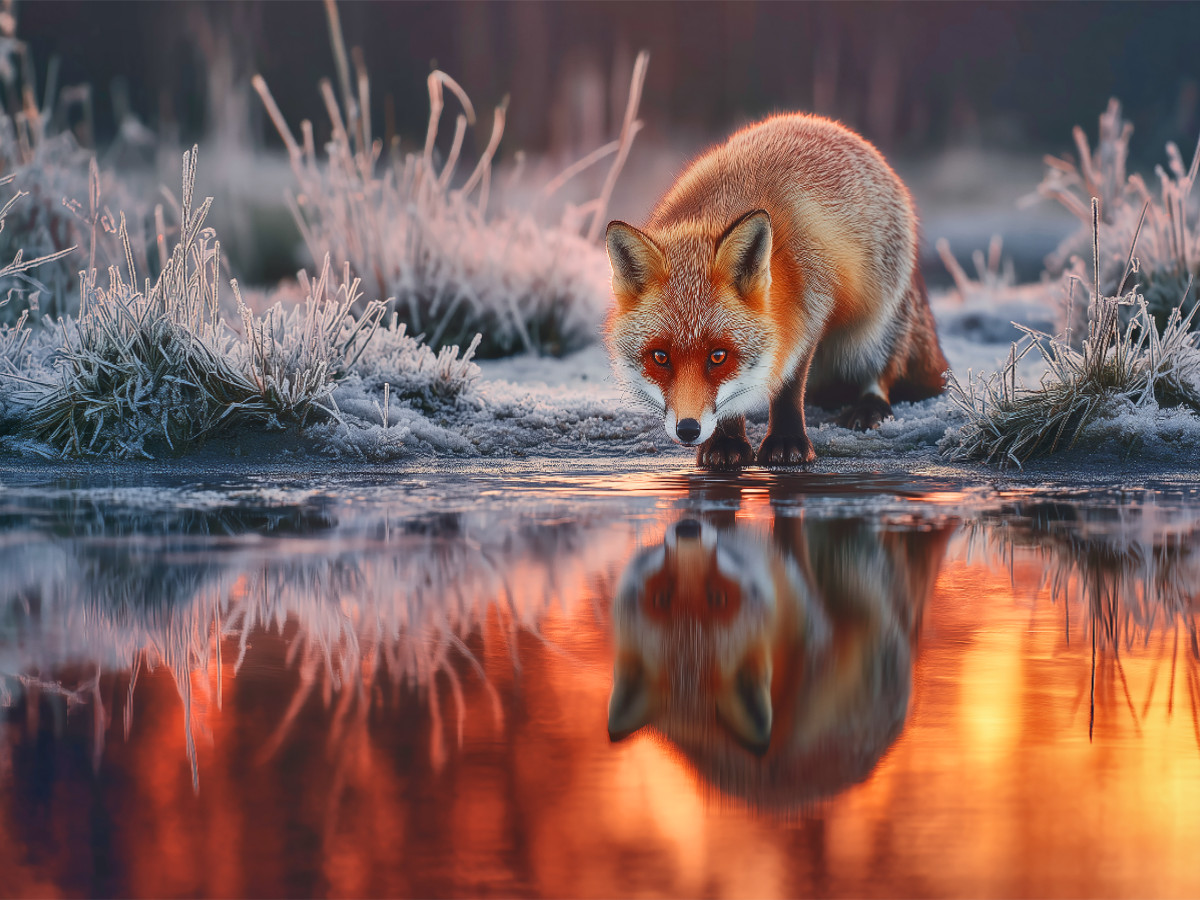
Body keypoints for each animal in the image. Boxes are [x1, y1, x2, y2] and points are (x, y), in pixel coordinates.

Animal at [605, 113, 949, 468]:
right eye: (660, 357)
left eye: (718, 356)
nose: (688, 429)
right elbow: (736, 397)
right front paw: (726, 443)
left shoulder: (810, 309)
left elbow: (789, 386)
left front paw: (786, 442)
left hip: (873, 321)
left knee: (880, 369)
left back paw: (870, 408)